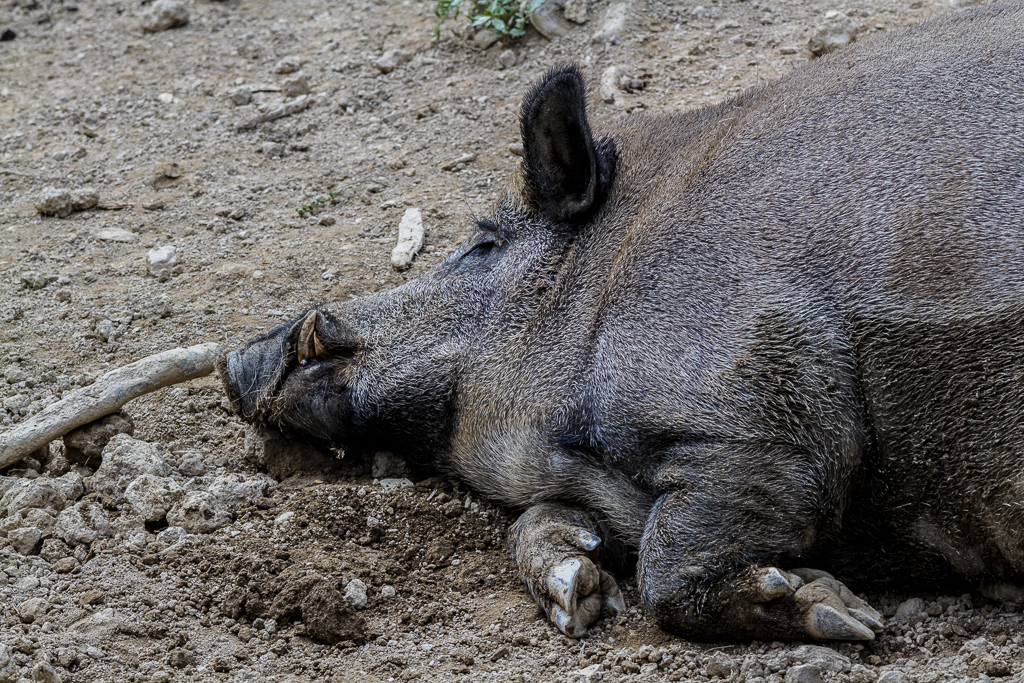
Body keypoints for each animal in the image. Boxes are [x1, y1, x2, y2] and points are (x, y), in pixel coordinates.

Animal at [220, 3, 1024, 642]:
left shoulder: (767, 412)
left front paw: (849, 618)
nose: (235, 360)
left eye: (484, 243)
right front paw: (576, 596)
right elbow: (544, 523)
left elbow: (674, 558)